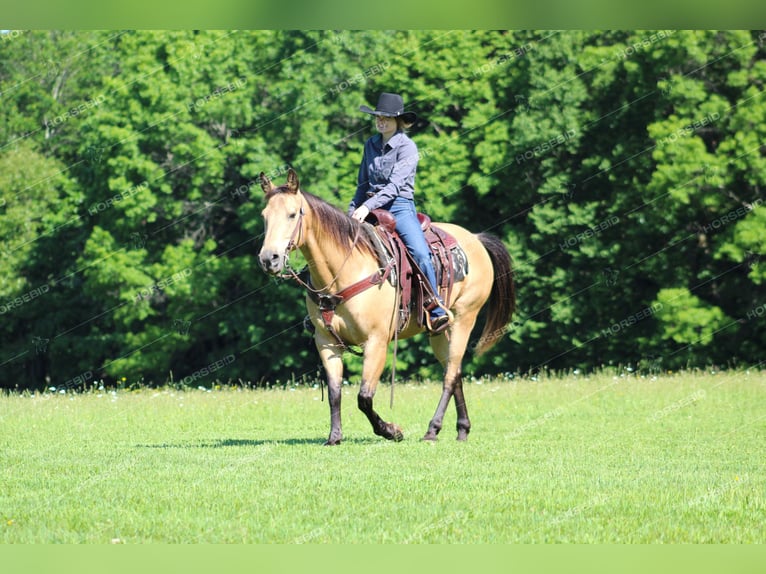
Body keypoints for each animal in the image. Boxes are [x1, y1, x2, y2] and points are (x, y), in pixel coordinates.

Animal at [258, 169, 516, 448]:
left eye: (292, 214)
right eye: (264, 216)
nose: (269, 259)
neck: (344, 272)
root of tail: (475, 239)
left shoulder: (376, 341)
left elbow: (364, 397)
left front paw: (391, 431)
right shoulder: (326, 341)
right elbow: (336, 392)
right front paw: (334, 437)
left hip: (464, 319)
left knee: (449, 376)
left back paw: (431, 430)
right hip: (439, 332)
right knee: (454, 371)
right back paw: (461, 429)